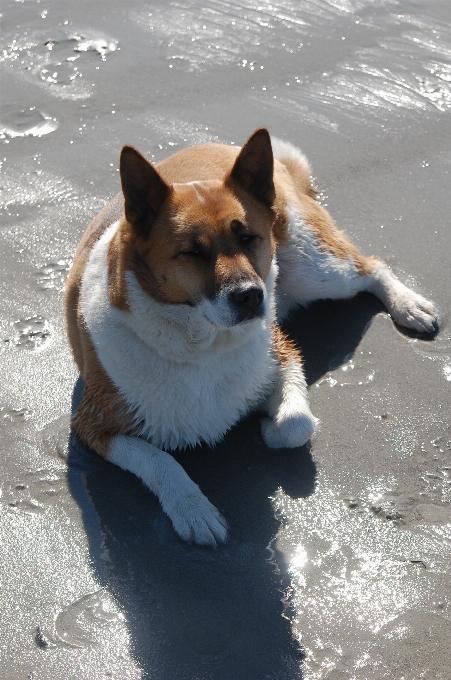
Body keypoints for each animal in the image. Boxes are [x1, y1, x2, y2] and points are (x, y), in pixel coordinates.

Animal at [65, 129, 440, 548]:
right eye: (192, 252)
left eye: (248, 238)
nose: (251, 296)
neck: (203, 342)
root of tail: (224, 145)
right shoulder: (93, 425)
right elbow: (160, 460)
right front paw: (193, 509)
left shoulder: (280, 352)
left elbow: (297, 423)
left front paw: (269, 428)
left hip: (314, 267)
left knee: (372, 266)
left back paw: (409, 305)